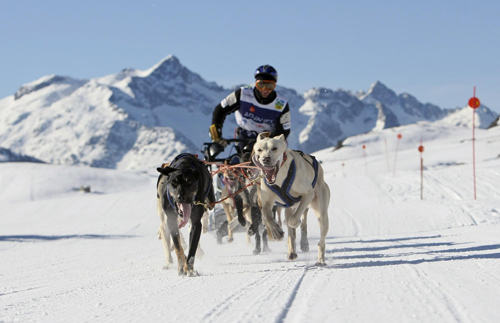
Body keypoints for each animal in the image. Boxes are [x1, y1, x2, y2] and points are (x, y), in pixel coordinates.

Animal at [252, 133, 330, 264]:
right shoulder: (266, 201)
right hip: (289, 209)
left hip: (322, 214)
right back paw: (292, 252)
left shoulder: (307, 195)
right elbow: (267, 216)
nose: (265, 159)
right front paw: (276, 232)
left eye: (274, 148)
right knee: (291, 234)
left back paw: (320, 259)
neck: (280, 178)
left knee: (320, 240)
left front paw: (295, 223)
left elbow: (293, 221)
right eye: (259, 150)